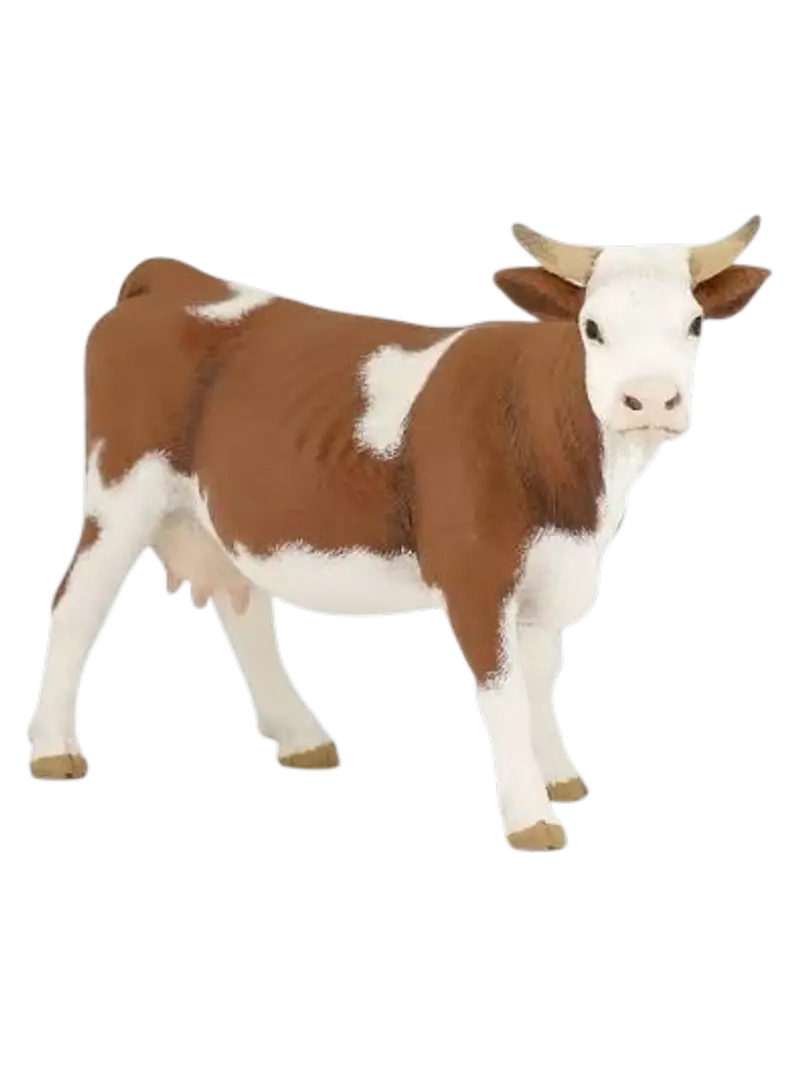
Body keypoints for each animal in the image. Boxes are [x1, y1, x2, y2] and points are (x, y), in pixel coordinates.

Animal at [28, 216, 772, 853]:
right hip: (123, 492)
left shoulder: (553, 574)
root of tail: (177, 280)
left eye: (694, 324)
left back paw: (301, 738)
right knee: (77, 605)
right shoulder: (475, 577)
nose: (650, 401)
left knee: (242, 605)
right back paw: (53, 749)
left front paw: (559, 776)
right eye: (592, 327)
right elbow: (503, 692)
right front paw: (532, 818)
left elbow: (542, 679)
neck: (582, 495)